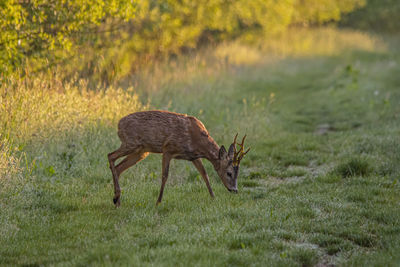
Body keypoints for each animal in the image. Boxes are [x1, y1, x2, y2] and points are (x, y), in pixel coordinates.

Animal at [106, 111, 250, 207]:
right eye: (229, 173)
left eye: (238, 173)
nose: (234, 190)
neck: (197, 139)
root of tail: (119, 124)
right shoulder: (168, 149)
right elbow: (165, 176)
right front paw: (158, 202)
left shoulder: (193, 156)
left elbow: (204, 174)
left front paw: (213, 197)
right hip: (131, 143)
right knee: (110, 156)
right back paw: (116, 197)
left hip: (141, 151)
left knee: (118, 167)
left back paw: (117, 201)